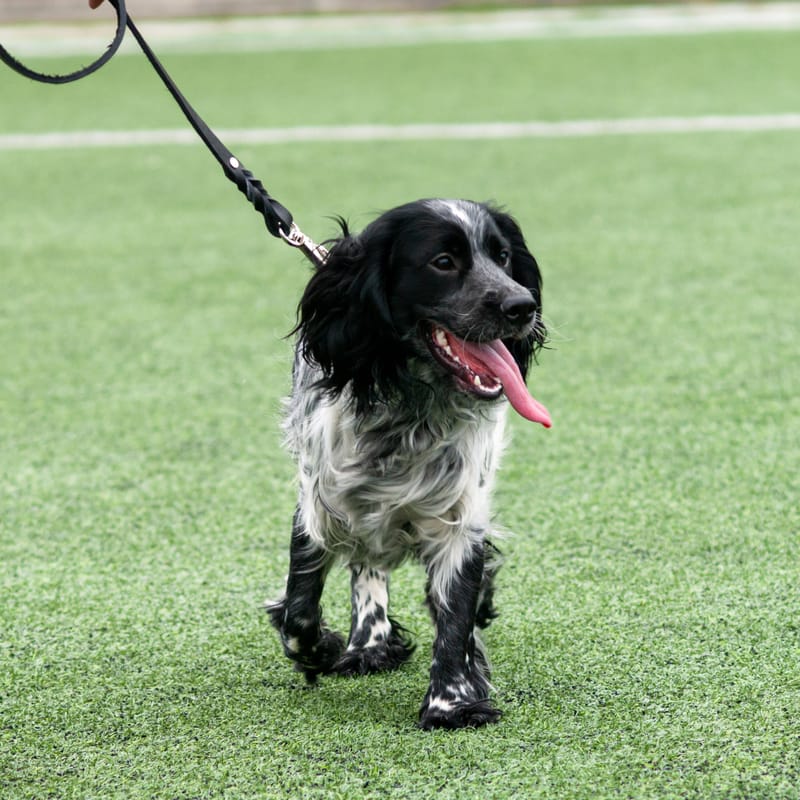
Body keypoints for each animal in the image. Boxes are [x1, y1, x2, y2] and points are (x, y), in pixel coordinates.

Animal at [268, 197, 552, 728]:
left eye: (503, 256)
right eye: (442, 262)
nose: (522, 306)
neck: (408, 411)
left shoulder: (462, 518)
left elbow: (455, 617)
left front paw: (451, 702)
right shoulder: (318, 503)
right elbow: (299, 608)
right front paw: (324, 649)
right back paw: (368, 643)